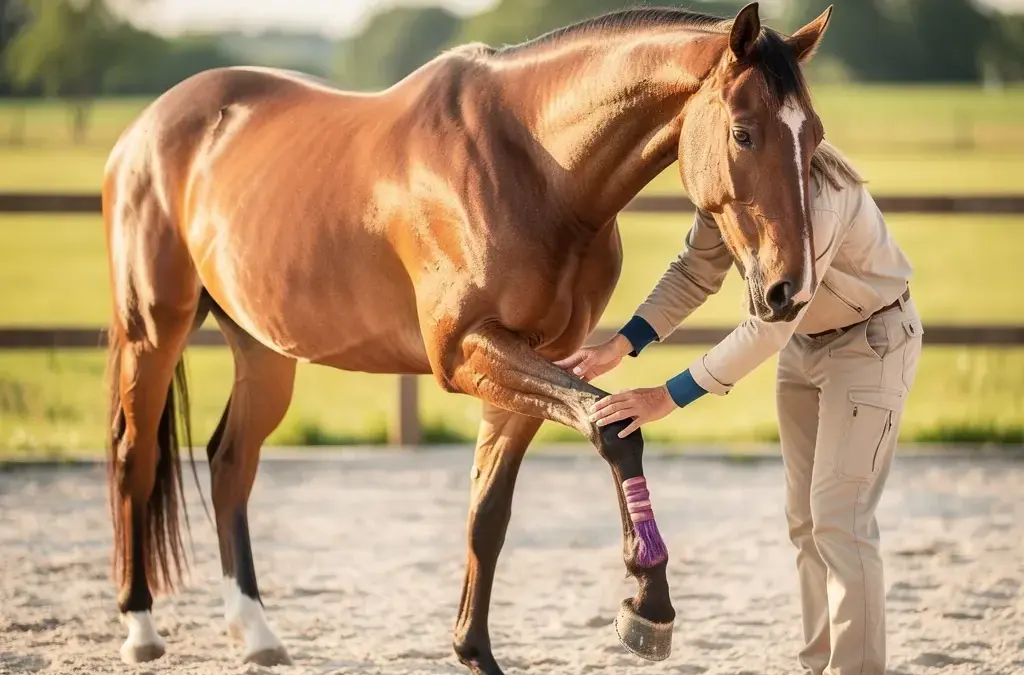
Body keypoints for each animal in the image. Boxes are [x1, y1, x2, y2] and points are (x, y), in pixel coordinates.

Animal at [102, 4, 833, 673]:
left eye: (816, 136)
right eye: (743, 133)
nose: (790, 290)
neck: (536, 166)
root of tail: (144, 129)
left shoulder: (534, 361)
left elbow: (490, 511)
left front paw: (474, 650)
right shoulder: (466, 353)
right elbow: (614, 431)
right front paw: (648, 602)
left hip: (264, 349)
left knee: (231, 463)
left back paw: (256, 633)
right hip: (152, 334)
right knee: (136, 458)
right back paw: (139, 628)